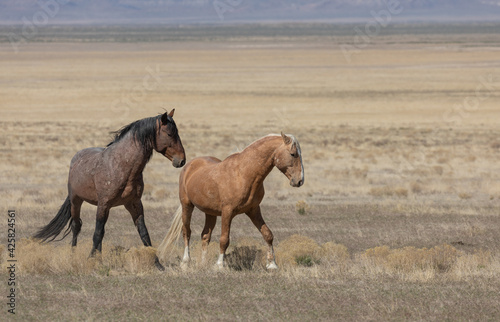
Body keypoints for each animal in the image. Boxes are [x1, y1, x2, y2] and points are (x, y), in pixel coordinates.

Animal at [34, 109, 185, 270]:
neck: (121, 165)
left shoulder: (134, 204)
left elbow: (143, 233)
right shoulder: (103, 204)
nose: (182, 160)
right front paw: (91, 259)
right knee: (76, 226)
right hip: (76, 201)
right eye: (169, 134)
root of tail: (75, 159)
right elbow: (97, 233)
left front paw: (157, 263)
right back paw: (73, 256)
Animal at [158, 133, 302, 270]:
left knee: (205, 235)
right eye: (293, 154)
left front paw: (272, 264)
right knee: (186, 232)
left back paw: (203, 263)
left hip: (210, 213)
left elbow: (268, 234)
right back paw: (185, 262)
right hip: (187, 206)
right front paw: (219, 265)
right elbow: (224, 239)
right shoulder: (228, 211)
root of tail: (189, 165)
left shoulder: (254, 210)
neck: (243, 174)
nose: (300, 181)